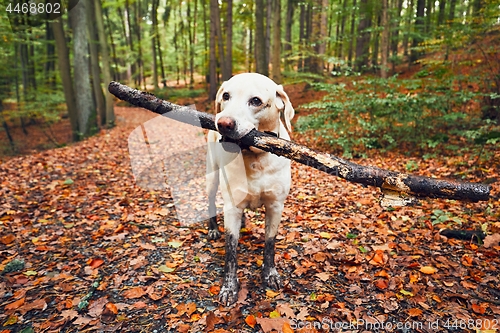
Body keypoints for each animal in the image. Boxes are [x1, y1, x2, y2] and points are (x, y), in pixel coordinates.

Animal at [206, 72, 294, 304]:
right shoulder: (231, 208)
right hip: (212, 177)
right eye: (226, 96)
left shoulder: (275, 206)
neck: (255, 158)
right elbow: (230, 251)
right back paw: (212, 229)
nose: (223, 123)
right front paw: (229, 287)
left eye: (256, 101)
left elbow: (270, 243)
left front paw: (270, 275)